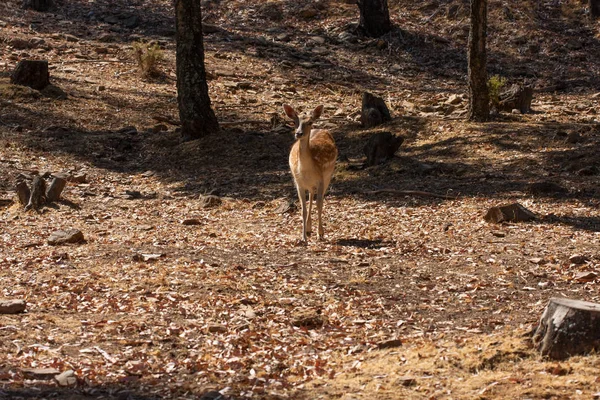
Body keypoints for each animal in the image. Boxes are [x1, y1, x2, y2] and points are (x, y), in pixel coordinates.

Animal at [282, 104, 336, 241]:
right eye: (294, 122)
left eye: (310, 122)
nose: (298, 133)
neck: (306, 170)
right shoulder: (298, 183)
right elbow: (303, 209)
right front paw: (303, 238)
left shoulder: (321, 179)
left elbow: (319, 204)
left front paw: (320, 233)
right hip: (310, 184)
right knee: (311, 195)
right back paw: (308, 228)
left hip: (329, 175)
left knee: (318, 198)